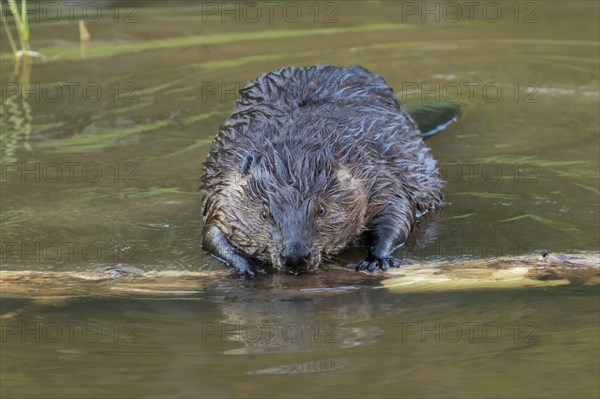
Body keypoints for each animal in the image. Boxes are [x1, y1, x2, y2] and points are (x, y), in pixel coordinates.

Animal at [199, 65, 458, 278]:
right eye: (264, 214)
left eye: (321, 210)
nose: (295, 255)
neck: (292, 158)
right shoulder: (223, 186)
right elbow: (212, 232)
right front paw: (246, 266)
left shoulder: (375, 167)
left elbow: (398, 209)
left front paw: (377, 259)